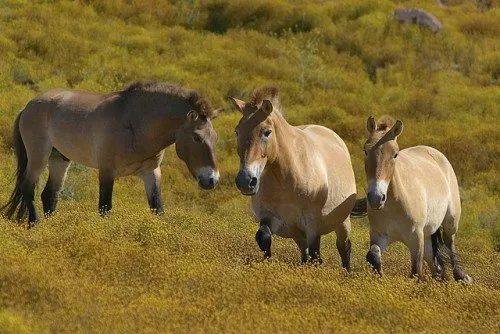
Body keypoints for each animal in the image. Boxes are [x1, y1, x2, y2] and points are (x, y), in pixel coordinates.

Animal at [0, 82, 223, 226]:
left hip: (59, 160)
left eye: (215, 137)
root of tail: (28, 105)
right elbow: (105, 208)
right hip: (39, 156)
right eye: (197, 138)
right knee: (28, 186)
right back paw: (35, 223)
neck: (135, 123)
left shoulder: (151, 173)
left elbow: (157, 208)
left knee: (50, 195)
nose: (211, 180)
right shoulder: (107, 172)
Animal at [232, 87, 358, 272]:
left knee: (344, 248)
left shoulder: (313, 224)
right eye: (237, 131)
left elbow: (316, 256)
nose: (245, 181)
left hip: (341, 221)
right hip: (299, 234)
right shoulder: (271, 217)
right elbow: (263, 237)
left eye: (267, 132)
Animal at [364, 115, 468, 282]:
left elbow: (415, 272)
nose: (376, 197)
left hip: (450, 221)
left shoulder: (416, 239)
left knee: (450, 244)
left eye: (395, 154)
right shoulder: (378, 235)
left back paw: (461, 277)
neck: (394, 205)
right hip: (427, 235)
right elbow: (373, 254)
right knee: (434, 262)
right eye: (366, 151)